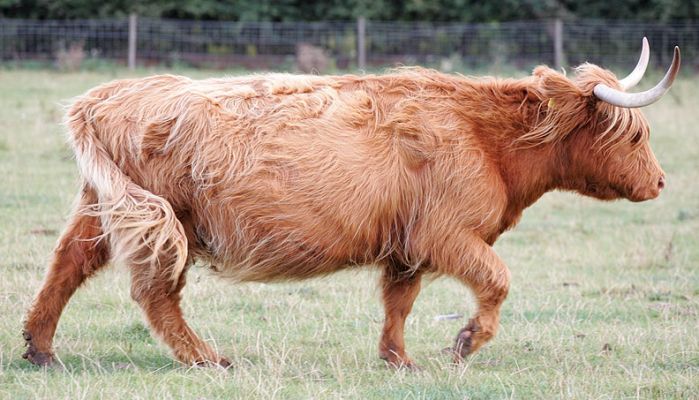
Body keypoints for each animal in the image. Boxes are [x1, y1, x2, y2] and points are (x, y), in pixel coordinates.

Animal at [22, 38, 679, 369]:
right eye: (636, 135)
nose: (660, 182)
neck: (487, 138)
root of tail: (106, 96)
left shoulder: (408, 243)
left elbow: (399, 302)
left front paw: (398, 360)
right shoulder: (448, 234)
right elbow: (496, 280)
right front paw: (465, 343)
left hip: (103, 207)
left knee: (68, 264)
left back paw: (40, 349)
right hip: (165, 219)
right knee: (155, 293)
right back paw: (206, 358)